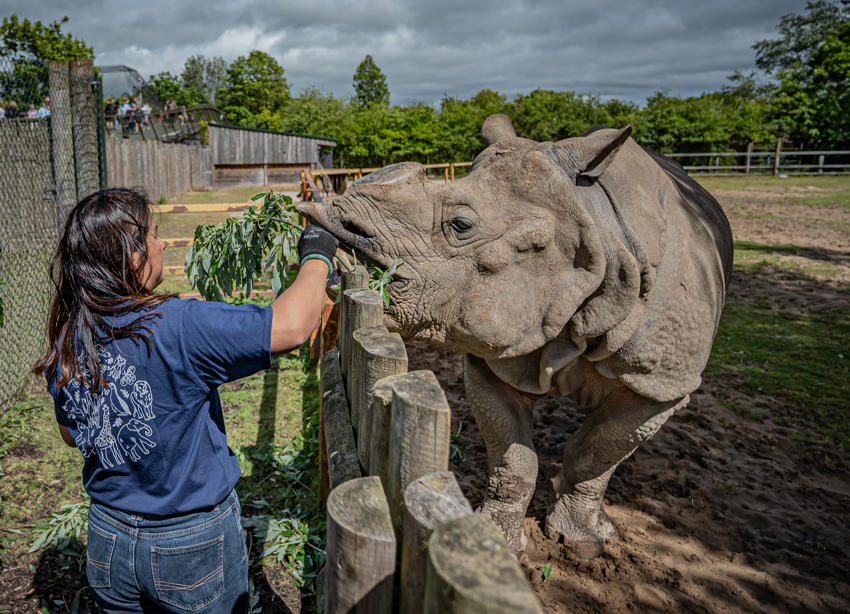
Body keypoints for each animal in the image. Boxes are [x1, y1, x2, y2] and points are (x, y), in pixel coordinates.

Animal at [299, 114, 733, 557]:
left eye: (461, 225)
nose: (334, 224)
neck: (595, 227)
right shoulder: (491, 351)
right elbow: (513, 457)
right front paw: (495, 543)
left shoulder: (661, 383)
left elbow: (597, 451)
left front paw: (582, 544)